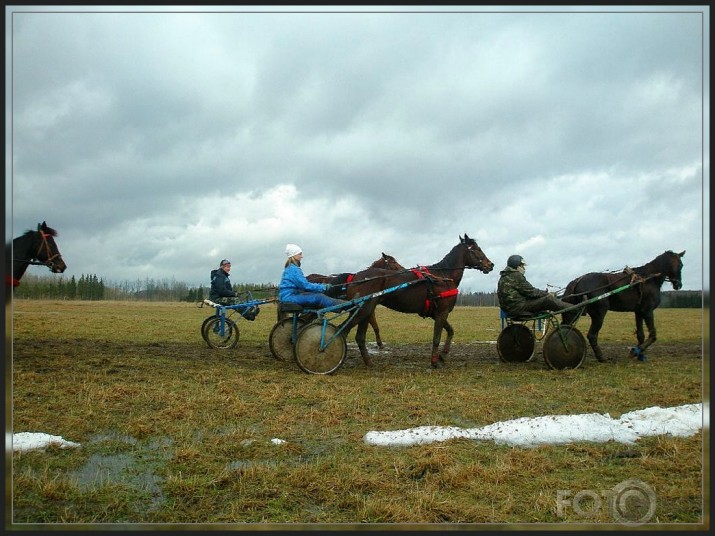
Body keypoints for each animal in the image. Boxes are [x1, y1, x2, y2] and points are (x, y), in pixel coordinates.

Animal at [342, 234, 492, 368]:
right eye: (478, 249)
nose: (491, 265)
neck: (442, 277)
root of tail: (356, 277)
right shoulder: (441, 312)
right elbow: (436, 338)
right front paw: (434, 361)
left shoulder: (436, 314)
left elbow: (450, 331)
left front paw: (443, 355)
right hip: (363, 310)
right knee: (343, 330)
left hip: (366, 312)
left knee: (359, 337)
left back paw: (368, 362)